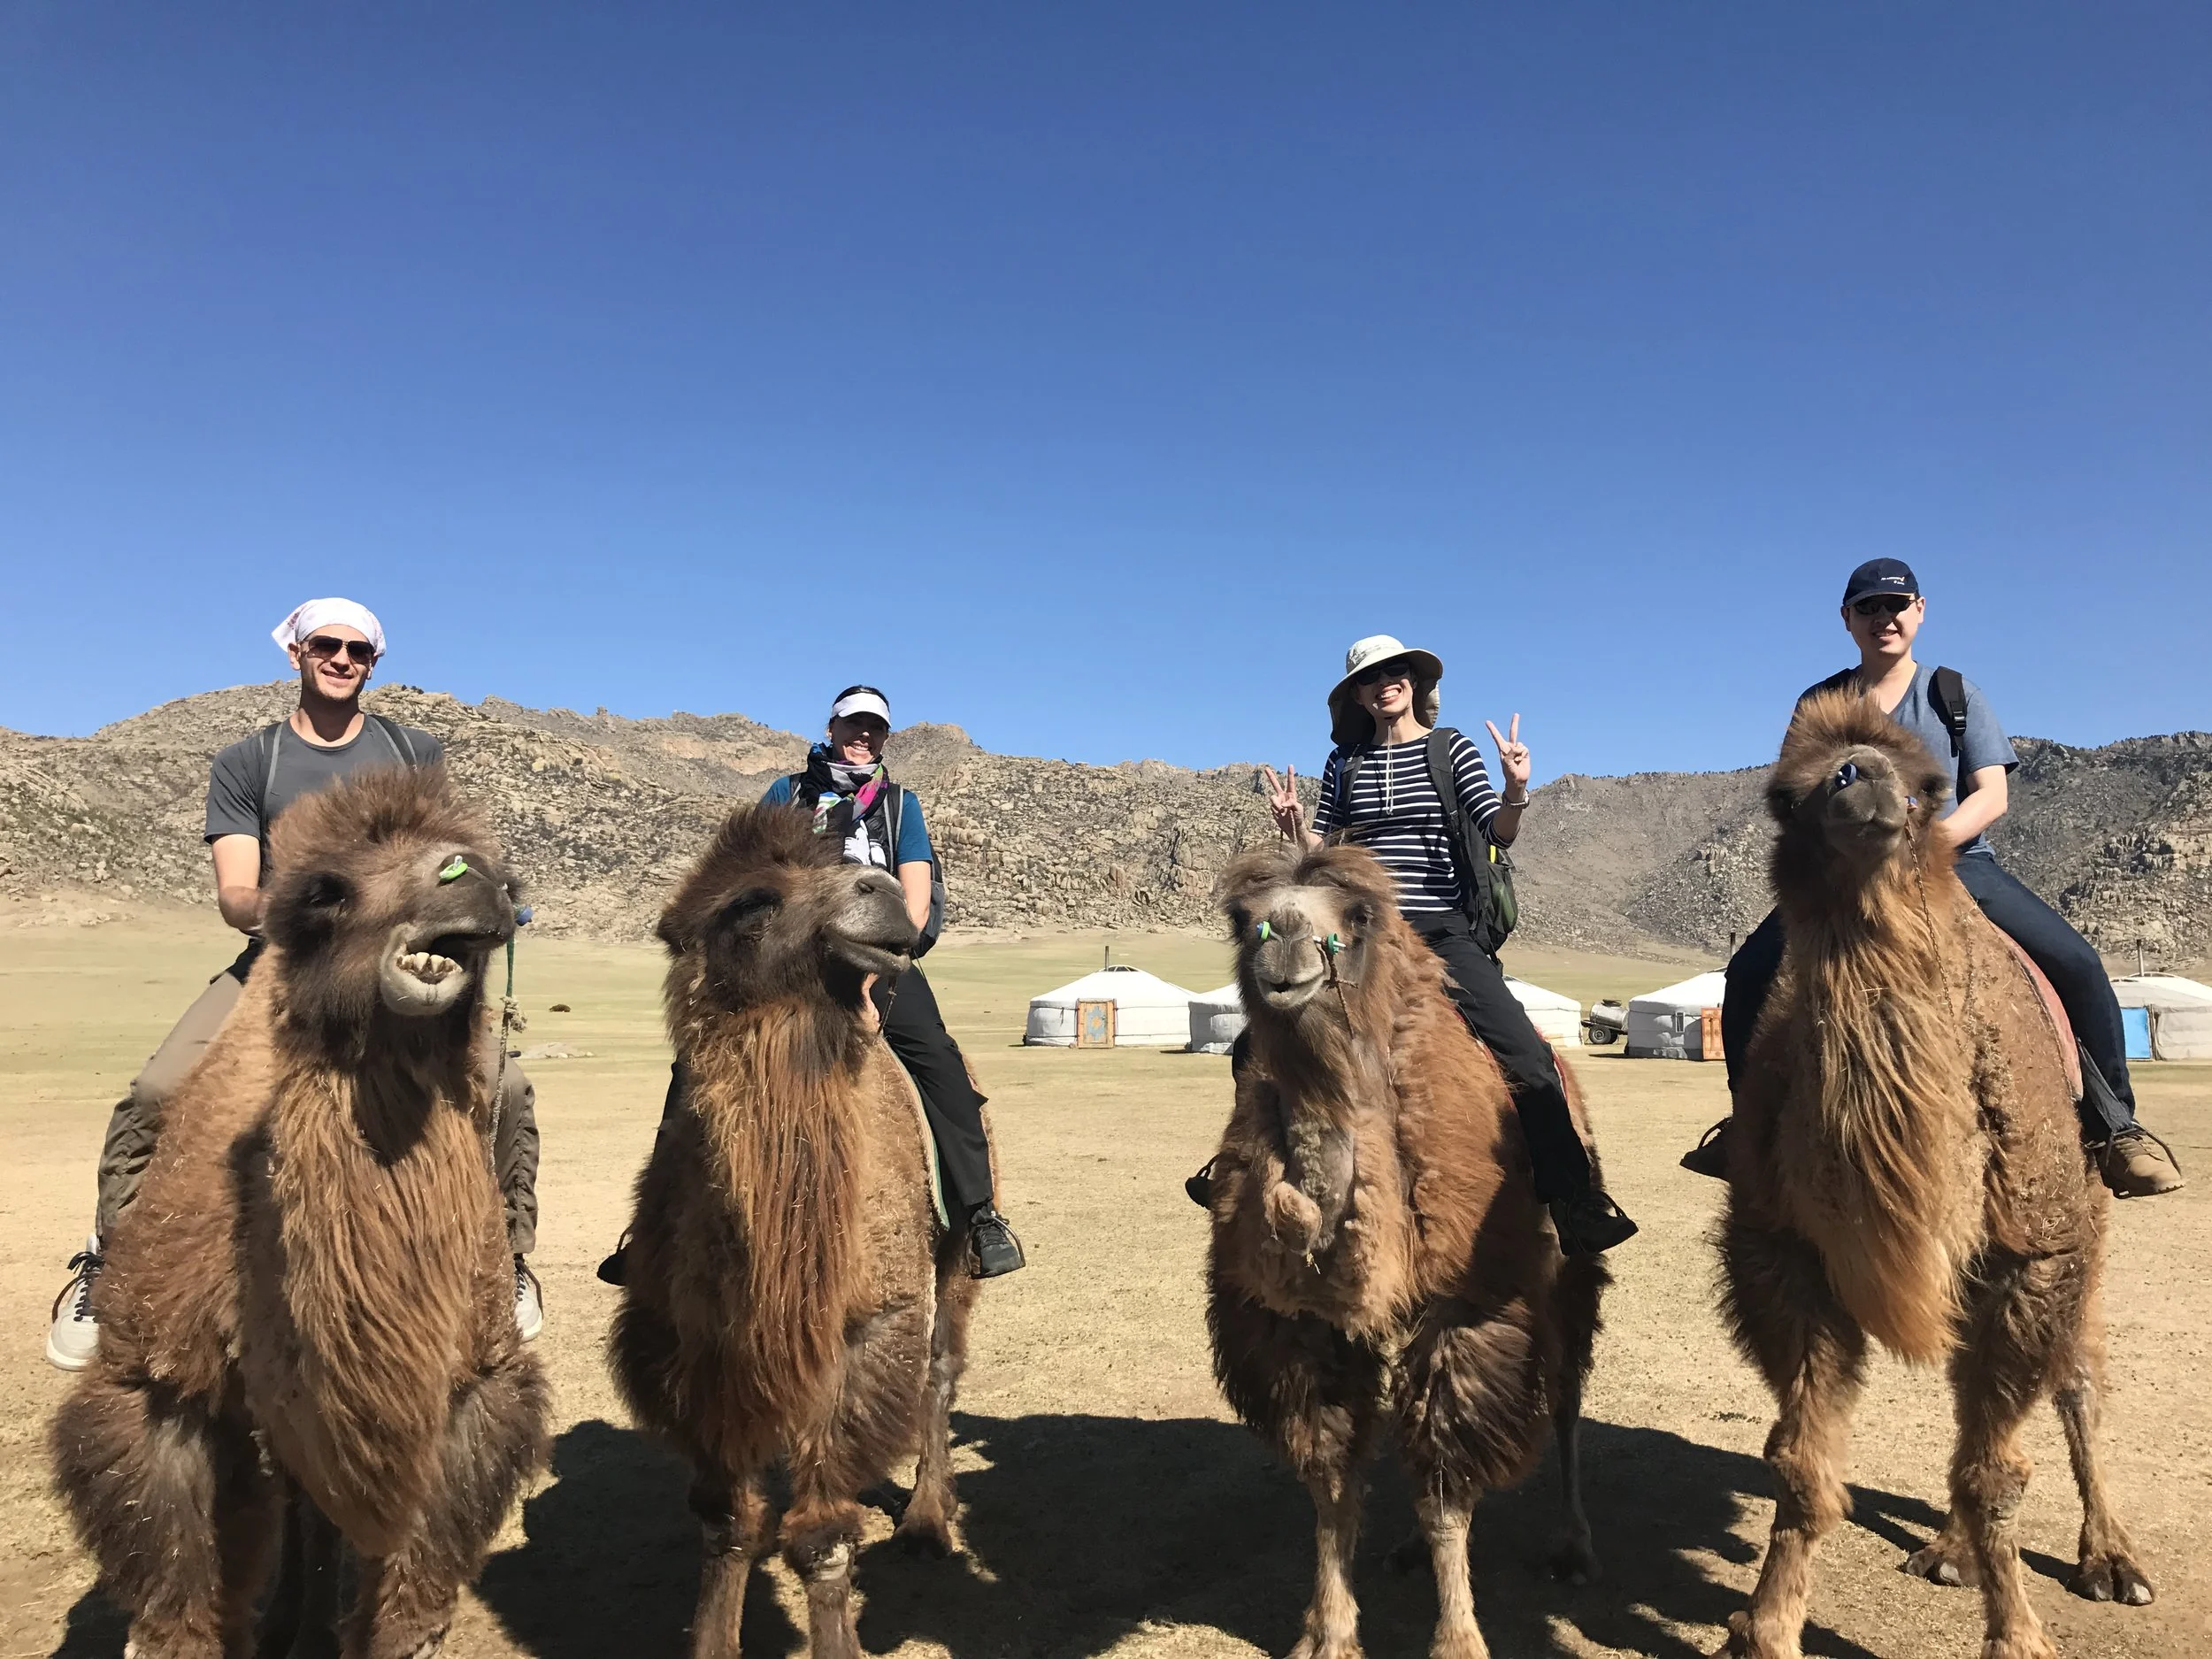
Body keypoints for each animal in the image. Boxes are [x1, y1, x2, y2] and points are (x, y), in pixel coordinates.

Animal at [50, 767, 549, 1659]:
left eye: (501, 878)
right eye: (325, 893)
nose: (475, 880)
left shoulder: (474, 1378)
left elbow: (414, 1562)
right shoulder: (159, 1380)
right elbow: (176, 1557)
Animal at [609, 804, 987, 1659]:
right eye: (751, 901)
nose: (884, 894)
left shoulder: (869, 1328)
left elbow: (821, 1537)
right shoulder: (696, 1349)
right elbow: (726, 1521)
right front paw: (713, 1640)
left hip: (954, 1256)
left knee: (939, 1372)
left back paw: (927, 1519)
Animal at [1204, 839, 1609, 1659]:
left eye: (1357, 916)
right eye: (1241, 918)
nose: (1284, 943)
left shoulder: (1470, 1304)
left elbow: (1446, 1482)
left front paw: (1458, 1638)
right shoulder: (1295, 1322)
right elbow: (1332, 1480)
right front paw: (1327, 1631)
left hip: (1570, 1272)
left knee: (1565, 1400)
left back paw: (1573, 1546)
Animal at [1718, 691, 2153, 1659]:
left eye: (1930, 784)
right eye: (1789, 792)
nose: (1861, 779)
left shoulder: (2039, 1251)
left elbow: (1997, 1469)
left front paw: (2018, 1637)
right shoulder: (1780, 1249)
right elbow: (1800, 1463)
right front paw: (1763, 1628)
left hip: (2080, 1228)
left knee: (2074, 1384)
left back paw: (2112, 1561)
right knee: (1970, 1398)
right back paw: (1950, 1552)